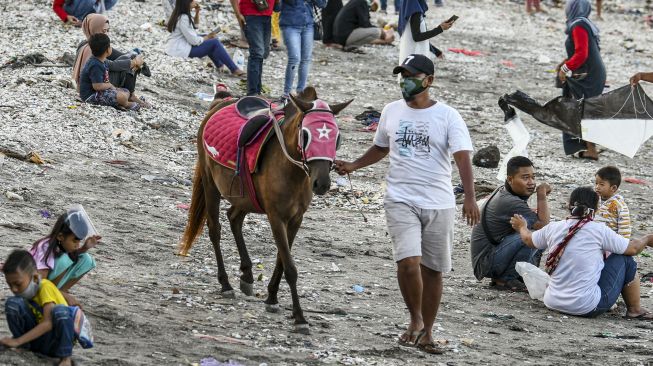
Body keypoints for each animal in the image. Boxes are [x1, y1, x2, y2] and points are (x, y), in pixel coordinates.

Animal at [178, 87, 352, 334]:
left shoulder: (295, 219)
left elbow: (281, 259)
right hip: (210, 184)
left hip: (244, 196)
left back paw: (247, 274)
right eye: (306, 135)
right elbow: (290, 267)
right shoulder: (276, 217)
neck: (291, 170)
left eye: (337, 138)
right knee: (215, 230)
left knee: (234, 218)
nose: (322, 183)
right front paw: (299, 316)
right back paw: (226, 283)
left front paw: (272, 297)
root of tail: (221, 101)